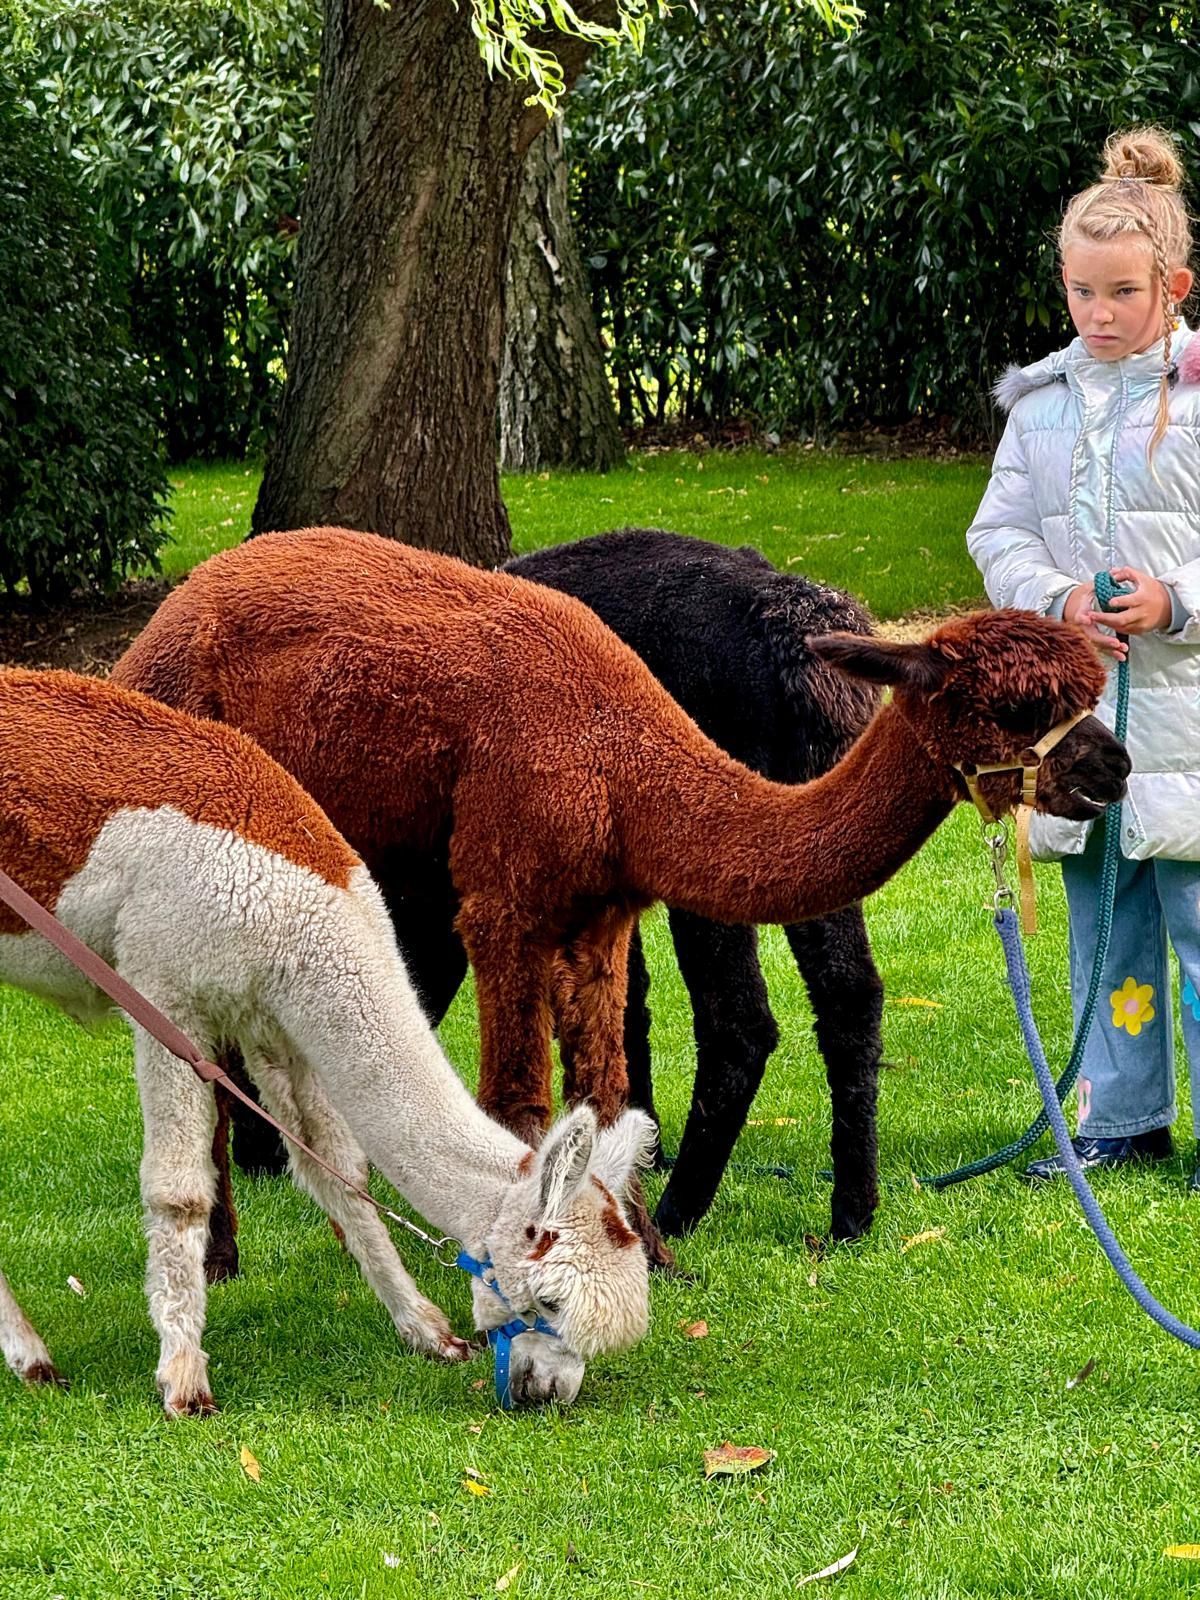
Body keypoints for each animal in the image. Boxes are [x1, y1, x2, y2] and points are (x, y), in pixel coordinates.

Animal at [0, 669, 652, 1414]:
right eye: (547, 1300)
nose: (550, 1390)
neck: (302, 908)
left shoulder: (273, 1015)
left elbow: (336, 1171)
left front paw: (426, 1331)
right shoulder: (166, 990)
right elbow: (179, 1191)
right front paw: (184, 1377)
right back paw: (34, 1356)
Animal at [112, 528, 1130, 1265]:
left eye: (1086, 687)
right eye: (1013, 707)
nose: (1113, 766)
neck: (620, 757)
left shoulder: (579, 911)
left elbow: (593, 1093)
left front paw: (630, 1253)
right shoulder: (505, 902)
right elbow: (525, 1096)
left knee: (781, 1010)